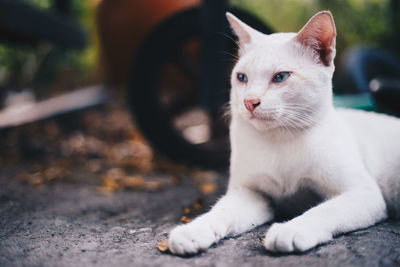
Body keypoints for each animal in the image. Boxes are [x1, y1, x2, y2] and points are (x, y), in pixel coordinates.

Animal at [167, 10, 398, 256]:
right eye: (241, 77)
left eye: (280, 77)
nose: (249, 102)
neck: (280, 139)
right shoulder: (251, 194)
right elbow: (220, 211)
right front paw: (192, 231)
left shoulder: (362, 193)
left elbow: (323, 210)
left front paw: (292, 230)